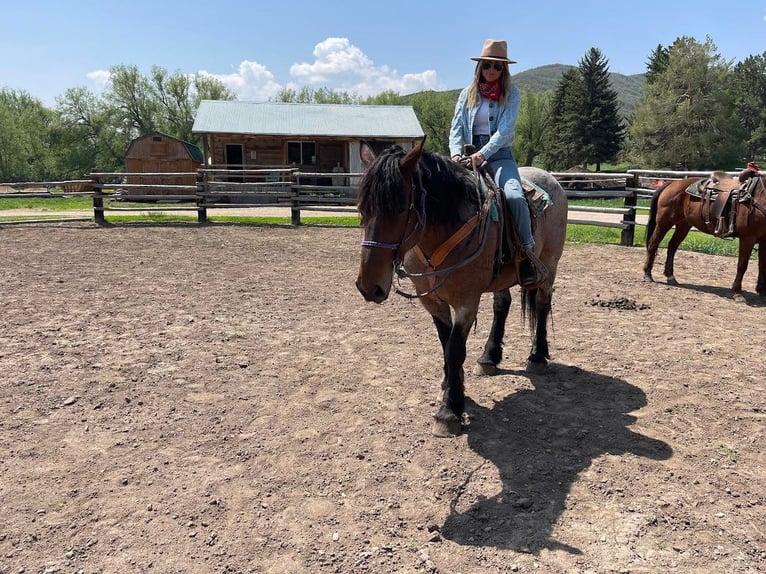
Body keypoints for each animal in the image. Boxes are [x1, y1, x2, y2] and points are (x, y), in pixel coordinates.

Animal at [356, 141, 568, 436]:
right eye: (361, 208)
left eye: (399, 208)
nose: (368, 287)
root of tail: (550, 178)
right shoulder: (433, 302)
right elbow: (445, 344)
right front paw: (449, 387)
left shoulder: (466, 302)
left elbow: (455, 349)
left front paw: (449, 411)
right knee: (502, 305)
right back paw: (489, 357)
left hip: (549, 265)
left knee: (541, 305)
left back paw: (537, 356)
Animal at [644, 169, 766, 304]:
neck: (760, 197)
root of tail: (671, 184)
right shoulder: (748, 238)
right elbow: (742, 265)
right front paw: (737, 293)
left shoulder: (764, 240)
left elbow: (762, 266)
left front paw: (762, 292)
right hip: (664, 223)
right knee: (653, 244)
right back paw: (648, 275)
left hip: (683, 225)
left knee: (672, 246)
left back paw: (670, 276)